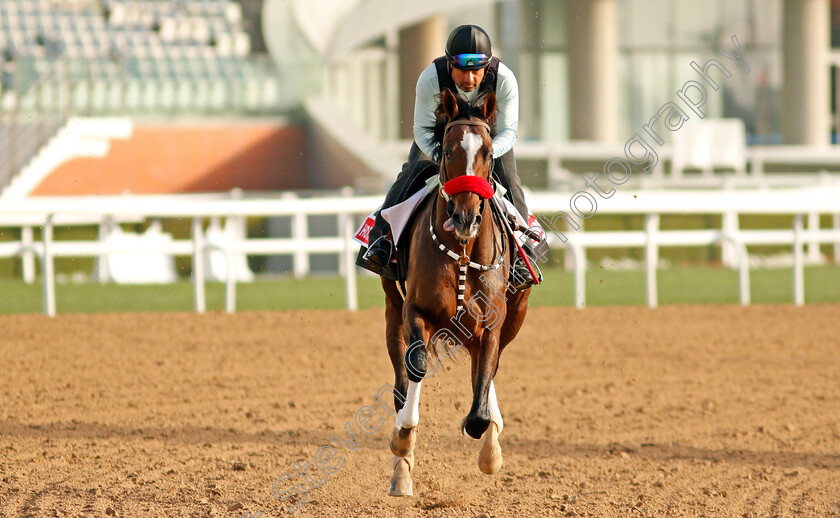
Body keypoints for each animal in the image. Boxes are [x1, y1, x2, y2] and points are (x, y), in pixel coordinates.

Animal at [382, 87, 532, 498]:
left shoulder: (493, 325)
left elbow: (481, 400)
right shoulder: (416, 310)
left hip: (514, 316)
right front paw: (403, 438)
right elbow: (416, 365)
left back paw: (492, 443)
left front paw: (486, 439)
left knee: (489, 370)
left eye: (488, 153)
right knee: (401, 379)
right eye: (448, 151)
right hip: (391, 307)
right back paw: (402, 470)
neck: (462, 251)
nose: (465, 216)